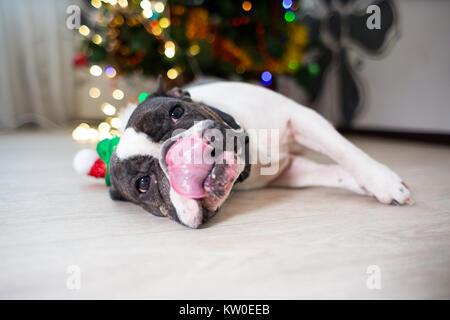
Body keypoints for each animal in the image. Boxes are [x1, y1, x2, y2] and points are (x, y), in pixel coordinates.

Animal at [107, 79, 414, 229]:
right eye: (143, 184)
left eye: (176, 112)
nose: (177, 152)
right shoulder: (291, 172)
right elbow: (333, 172)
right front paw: (368, 185)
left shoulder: (301, 118)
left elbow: (344, 151)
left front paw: (382, 183)